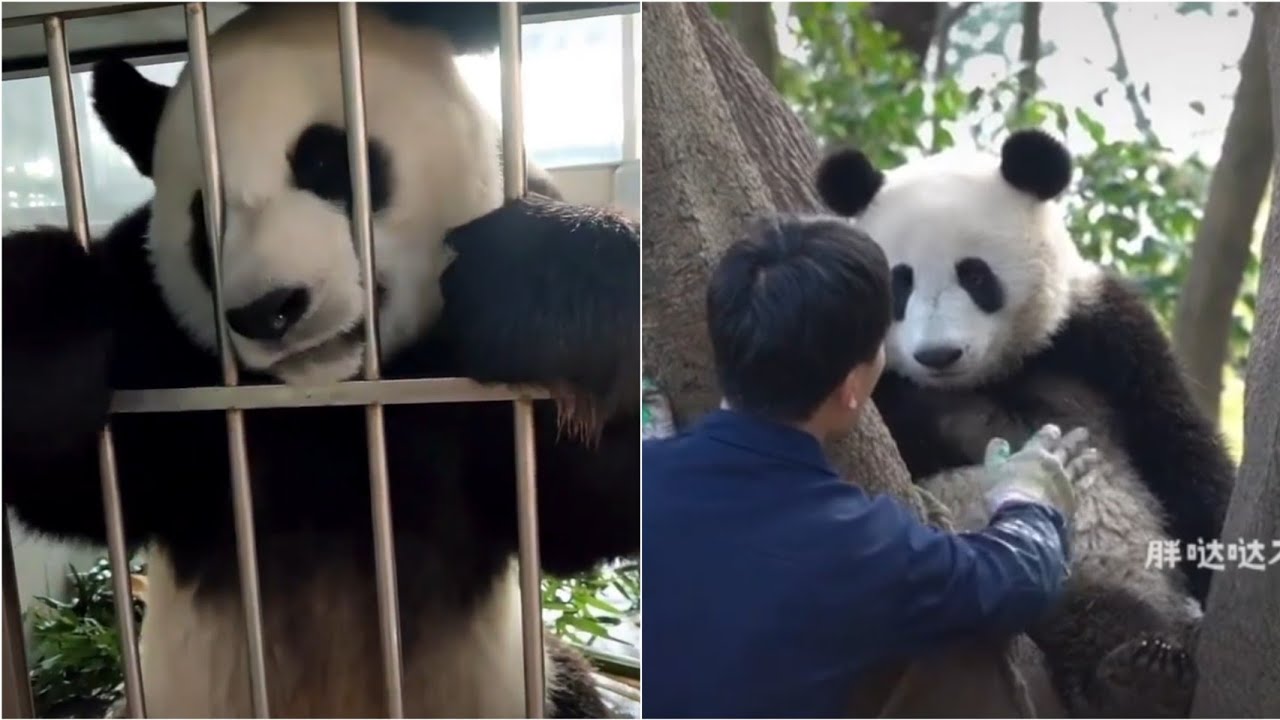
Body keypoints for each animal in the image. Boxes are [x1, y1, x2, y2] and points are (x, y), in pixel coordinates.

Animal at [2, 4, 638, 718]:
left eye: (329, 162)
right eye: (203, 219)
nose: (268, 309)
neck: (330, 398)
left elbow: (582, 504)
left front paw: (560, 289)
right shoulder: (161, 343)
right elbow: (78, 480)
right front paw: (39, 351)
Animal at [814, 129, 1236, 717]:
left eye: (974, 274)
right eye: (900, 283)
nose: (938, 354)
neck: (990, 374)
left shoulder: (1102, 335)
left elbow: (1181, 451)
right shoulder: (875, 387)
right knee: (1083, 615)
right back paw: (1138, 673)